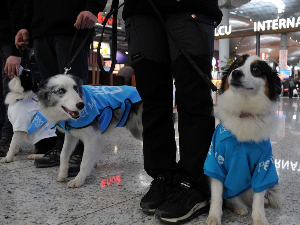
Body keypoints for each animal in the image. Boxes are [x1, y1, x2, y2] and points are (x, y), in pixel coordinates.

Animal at [205, 55, 282, 225]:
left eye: (256, 69)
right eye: (235, 65)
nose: (236, 73)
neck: (244, 112)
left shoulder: (263, 164)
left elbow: (258, 198)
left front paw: (260, 219)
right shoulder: (215, 161)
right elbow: (217, 196)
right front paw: (213, 217)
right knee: (231, 196)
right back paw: (239, 206)